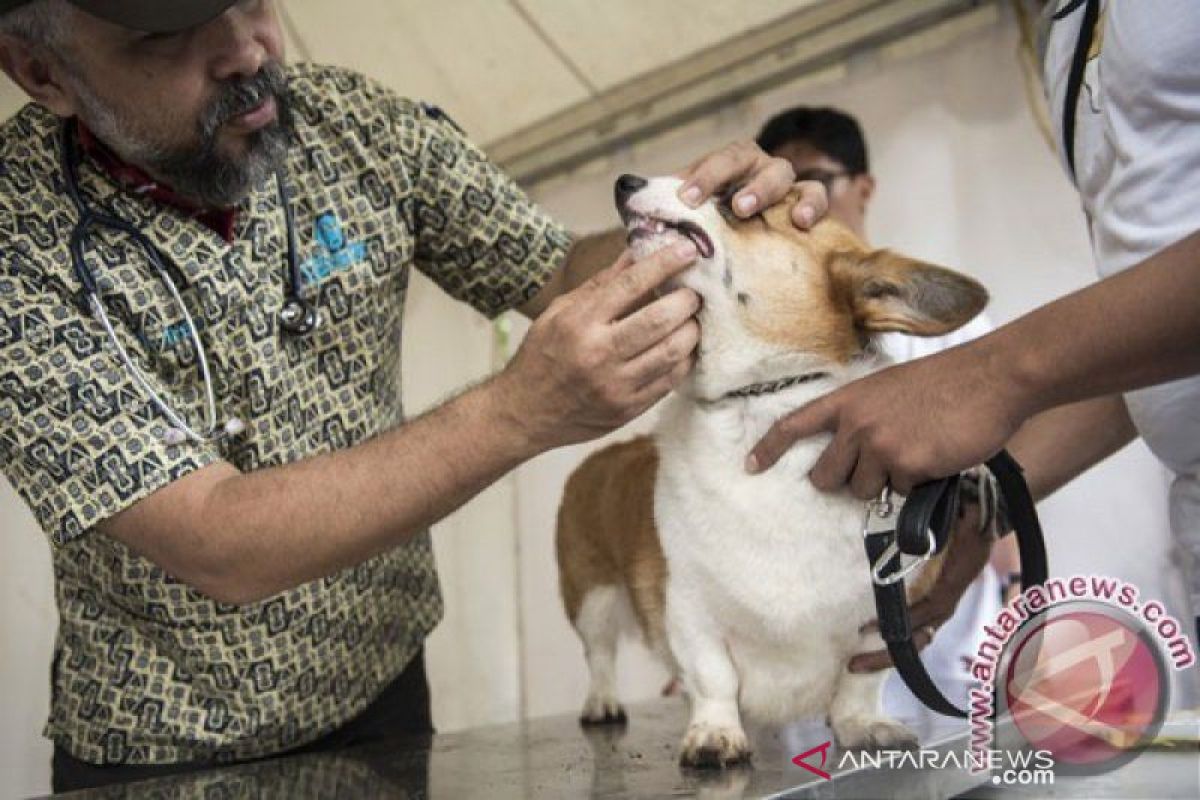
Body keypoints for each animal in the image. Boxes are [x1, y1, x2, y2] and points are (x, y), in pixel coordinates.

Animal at [552, 176, 984, 767]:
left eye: (737, 202)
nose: (626, 181)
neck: (759, 400)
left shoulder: (887, 616)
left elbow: (859, 682)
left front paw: (861, 725)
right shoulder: (690, 609)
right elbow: (713, 678)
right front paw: (714, 735)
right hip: (590, 594)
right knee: (598, 655)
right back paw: (602, 703)